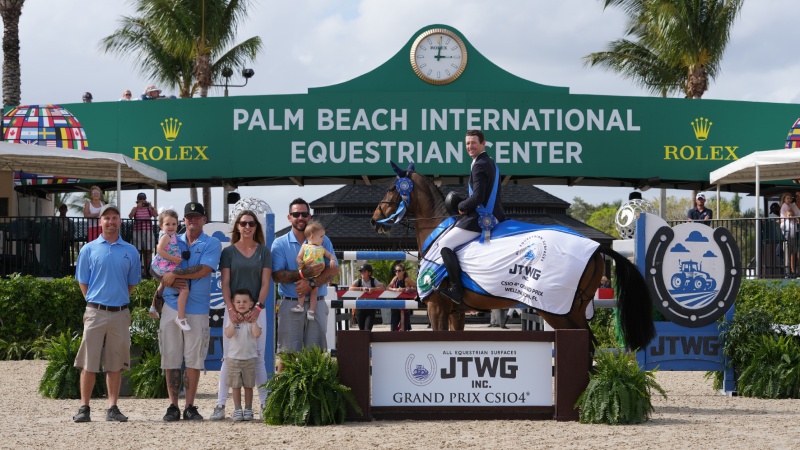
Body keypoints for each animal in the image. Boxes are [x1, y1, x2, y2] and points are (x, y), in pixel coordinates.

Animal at [368, 163, 656, 350]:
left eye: (392, 187)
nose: (374, 220)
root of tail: (596, 247)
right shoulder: (455, 312)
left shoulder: (437, 306)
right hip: (574, 309)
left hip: (557, 311)